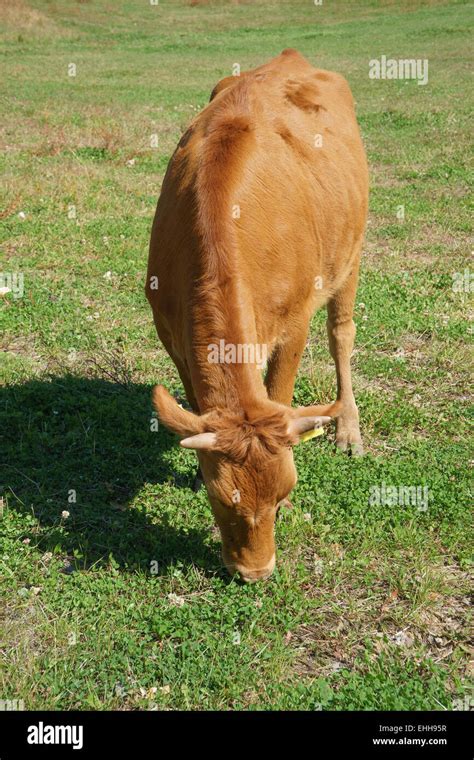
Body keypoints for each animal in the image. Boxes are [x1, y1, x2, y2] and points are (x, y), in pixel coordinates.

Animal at [146, 49, 368, 580]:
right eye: (219, 500)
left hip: (350, 254)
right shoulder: (174, 338)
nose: (257, 572)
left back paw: (348, 427)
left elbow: (280, 391)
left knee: (342, 334)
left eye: (287, 490)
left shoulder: (294, 324)